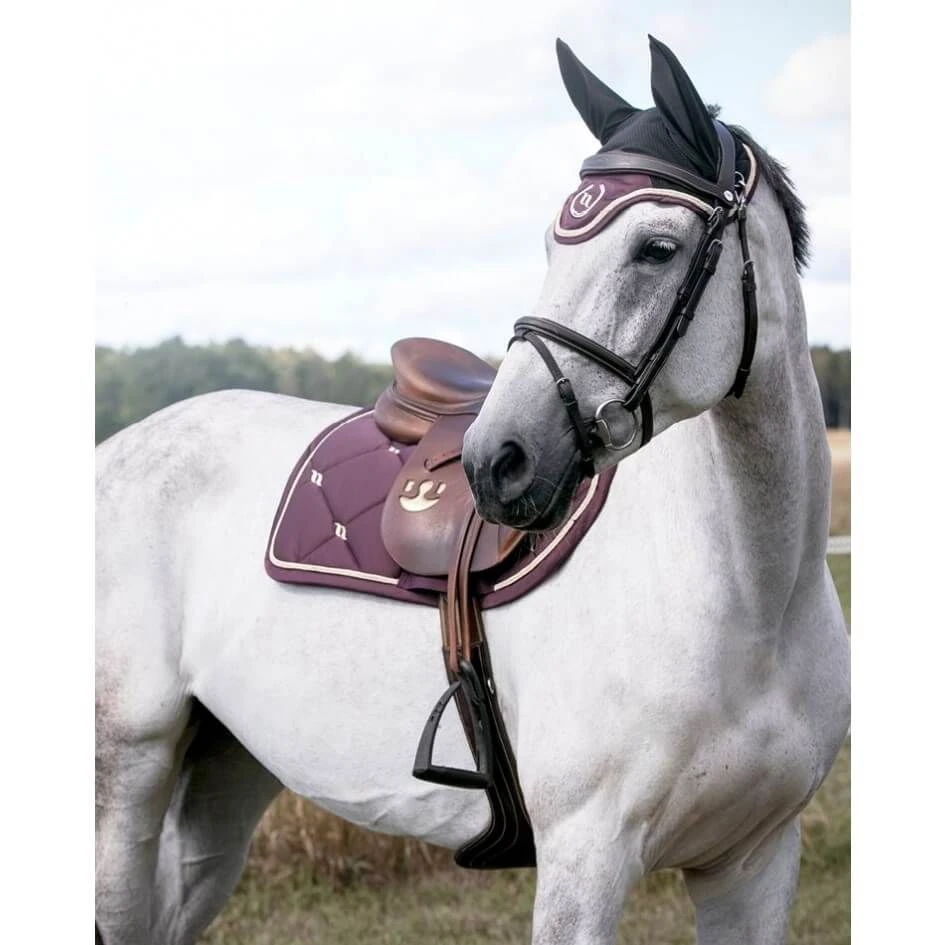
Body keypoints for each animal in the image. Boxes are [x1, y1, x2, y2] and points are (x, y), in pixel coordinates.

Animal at [95, 36, 850, 945]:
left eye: (656, 248)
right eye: (554, 246)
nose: (497, 460)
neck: (753, 598)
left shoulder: (755, 862)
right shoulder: (583, 863)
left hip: (224, 770)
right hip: (127, 771)